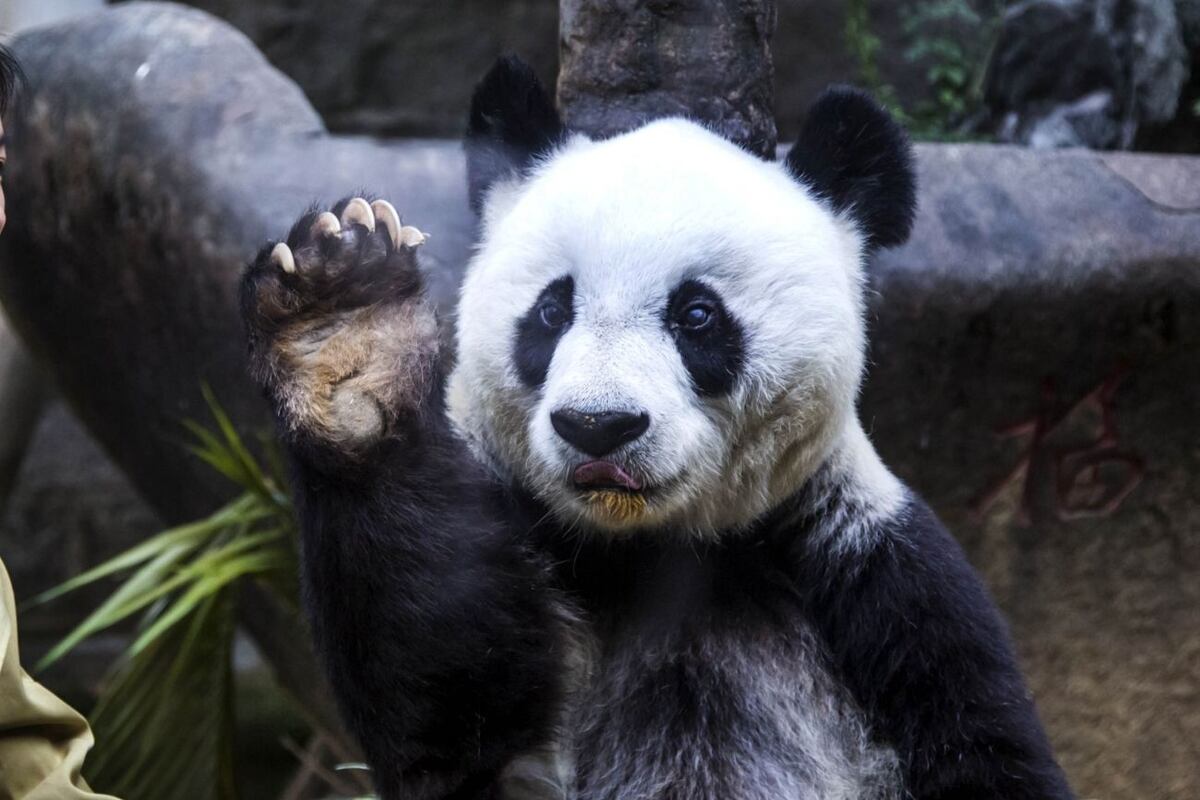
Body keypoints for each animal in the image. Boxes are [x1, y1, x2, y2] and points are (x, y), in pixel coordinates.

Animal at [240, 56, 1074, 800]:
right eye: (552, 310)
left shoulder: (871, 577)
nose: (598, 426)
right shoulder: (523, 539)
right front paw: (346, 318)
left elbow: (985, 750)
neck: (650, 547)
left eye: (697, 315)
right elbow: (443, 702)